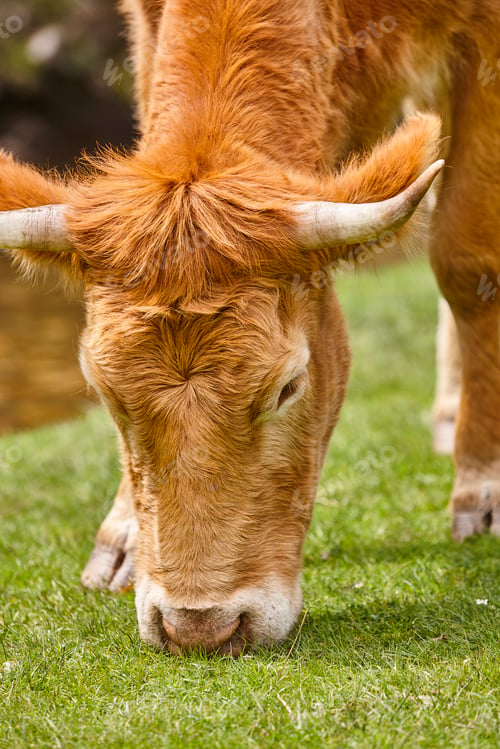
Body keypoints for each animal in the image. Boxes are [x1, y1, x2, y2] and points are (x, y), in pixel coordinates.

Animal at [1, 0, 499, 656]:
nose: (198, 626)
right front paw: (124, 537)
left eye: (288, 387)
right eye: (106, 394)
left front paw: (482, 489)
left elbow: (468, 262)